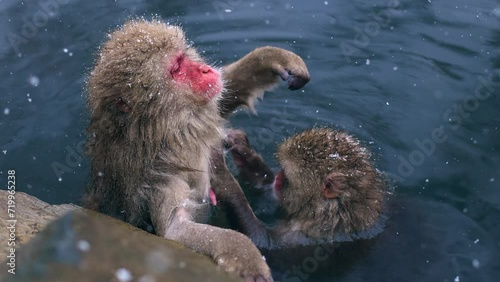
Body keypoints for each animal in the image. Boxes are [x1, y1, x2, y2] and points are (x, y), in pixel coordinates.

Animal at [85, 18, 308, 280]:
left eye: (183, 57)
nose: (204, 70)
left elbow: (226, 90)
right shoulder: (158, 178)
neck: (165, 130)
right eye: (177, 69)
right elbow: (175, 230)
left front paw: (273, 57)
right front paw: (244, 254)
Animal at [211, 128, 386, 249]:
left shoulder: (304, 237)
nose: (278, 178)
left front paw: (220, 173)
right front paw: (244, 151)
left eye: (286, 178)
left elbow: (257, 242)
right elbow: (267, 191)